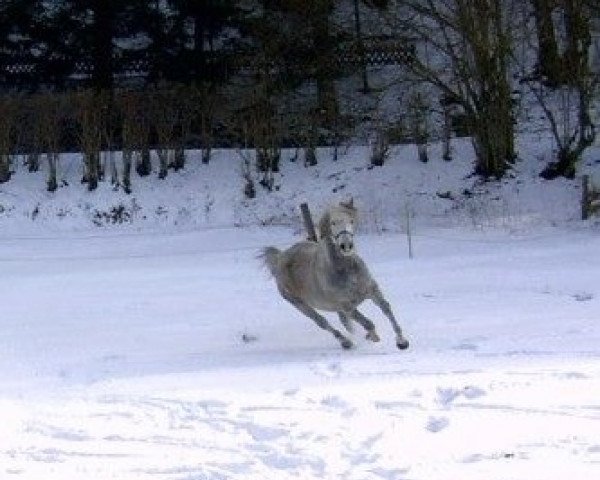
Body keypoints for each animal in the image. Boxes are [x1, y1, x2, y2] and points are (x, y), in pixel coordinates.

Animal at [260, 201, 410, 350]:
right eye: (333, 223)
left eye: (351, 220)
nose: (346, 245)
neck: (347, 270)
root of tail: (280, 257)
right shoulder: (347, 307)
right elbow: (368, 323)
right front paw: (373, 337)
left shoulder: (372, 291)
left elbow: (386, 308)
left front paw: (402, 342)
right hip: (302, 306)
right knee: (323, 323)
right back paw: (346, 342)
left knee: (345, 323)